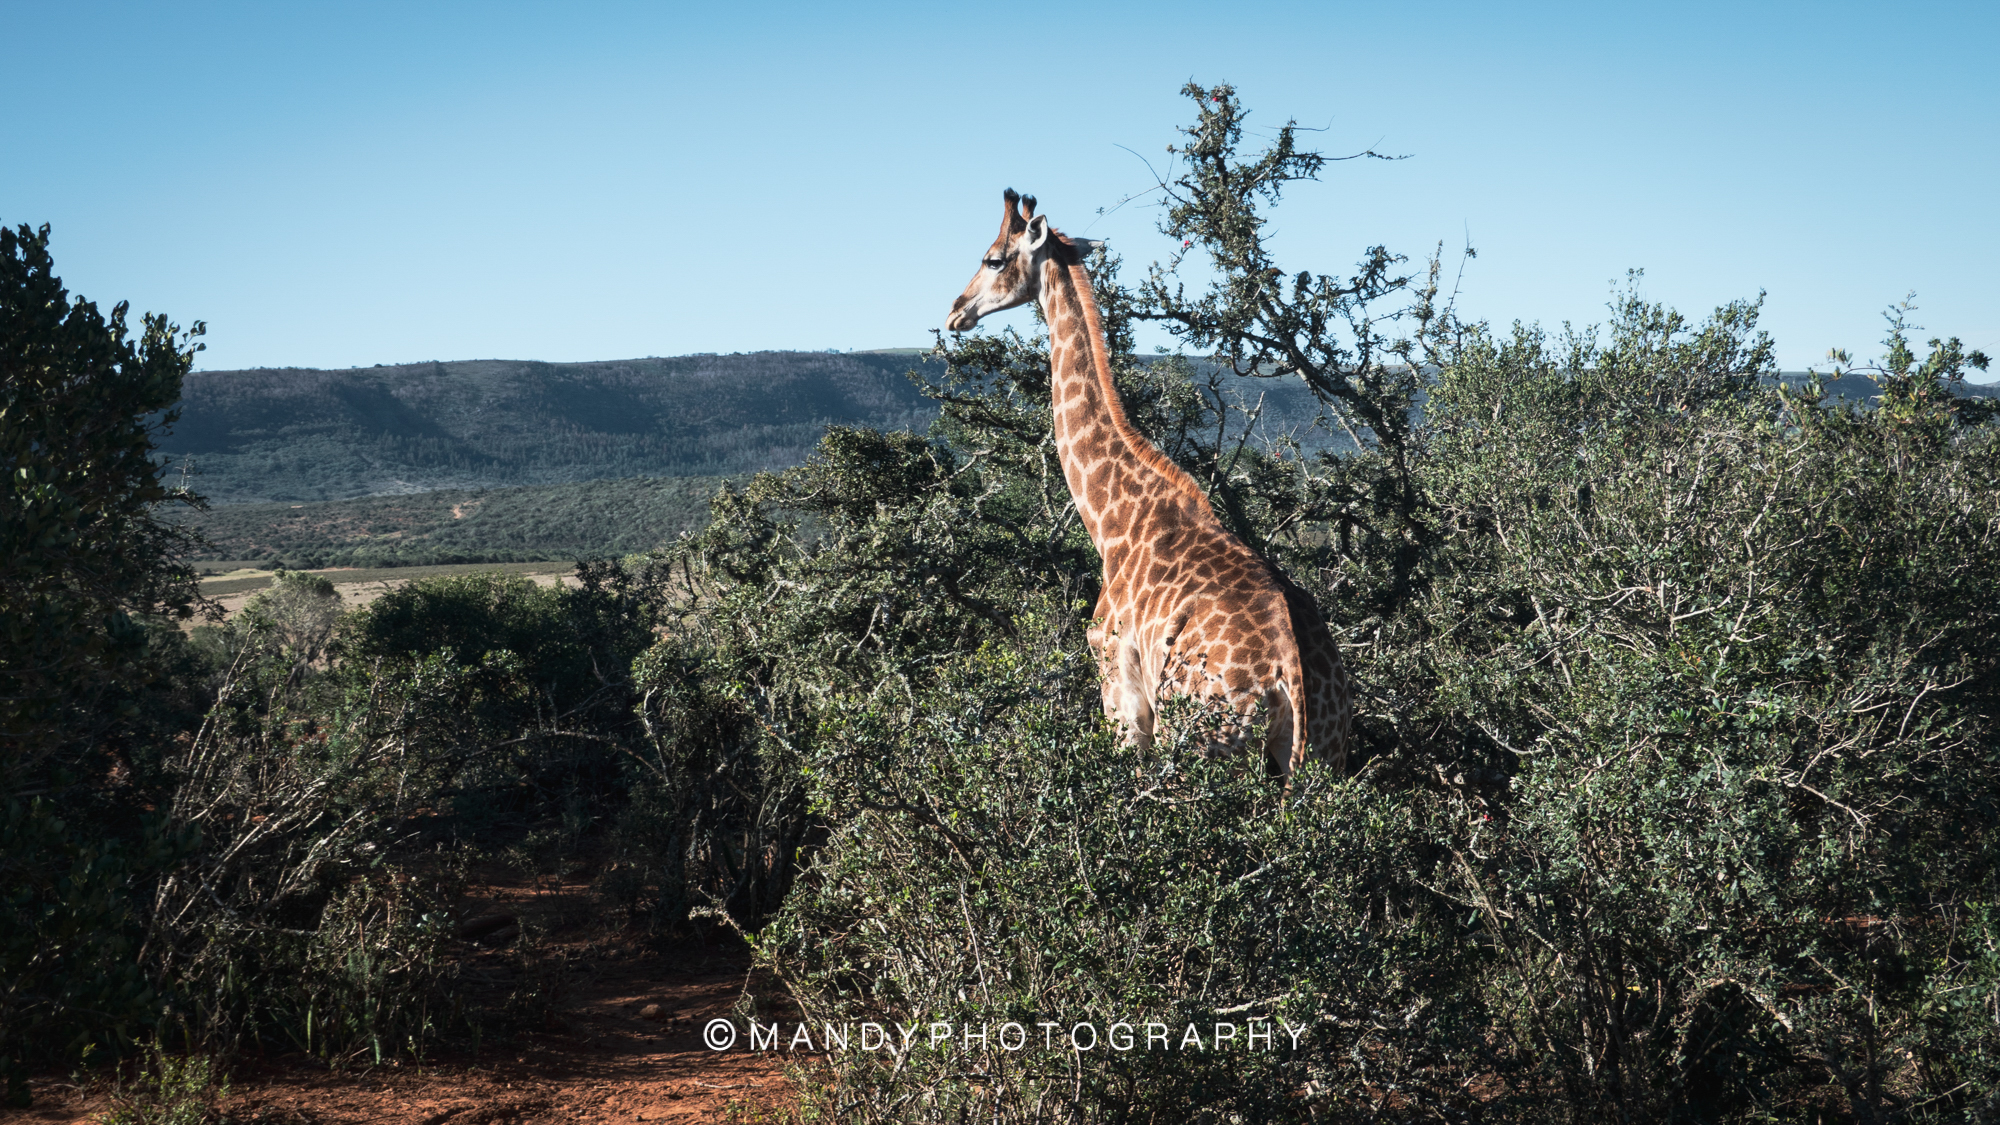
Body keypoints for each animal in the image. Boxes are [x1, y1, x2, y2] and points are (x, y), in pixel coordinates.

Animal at [940, 188, 1352, 776]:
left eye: (993, 259)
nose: (955, 312)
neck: (1112, 521)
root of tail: (1288, 677)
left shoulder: (1119, 683)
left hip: (1202, 743)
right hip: (1325, 756)